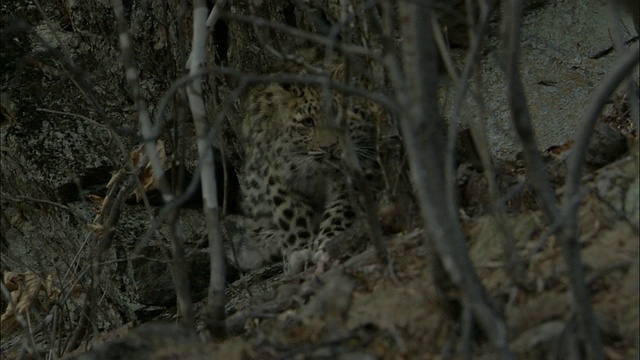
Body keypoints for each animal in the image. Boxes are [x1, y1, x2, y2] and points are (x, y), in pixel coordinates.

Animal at [225, 59, 384, 274]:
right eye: (308, 123)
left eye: (338, 113)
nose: (329, 146)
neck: (320, 172)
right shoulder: (278, 177)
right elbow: (291, 214)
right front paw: (298, 251)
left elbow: (341, 209)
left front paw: (327, 241)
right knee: (255, 230)